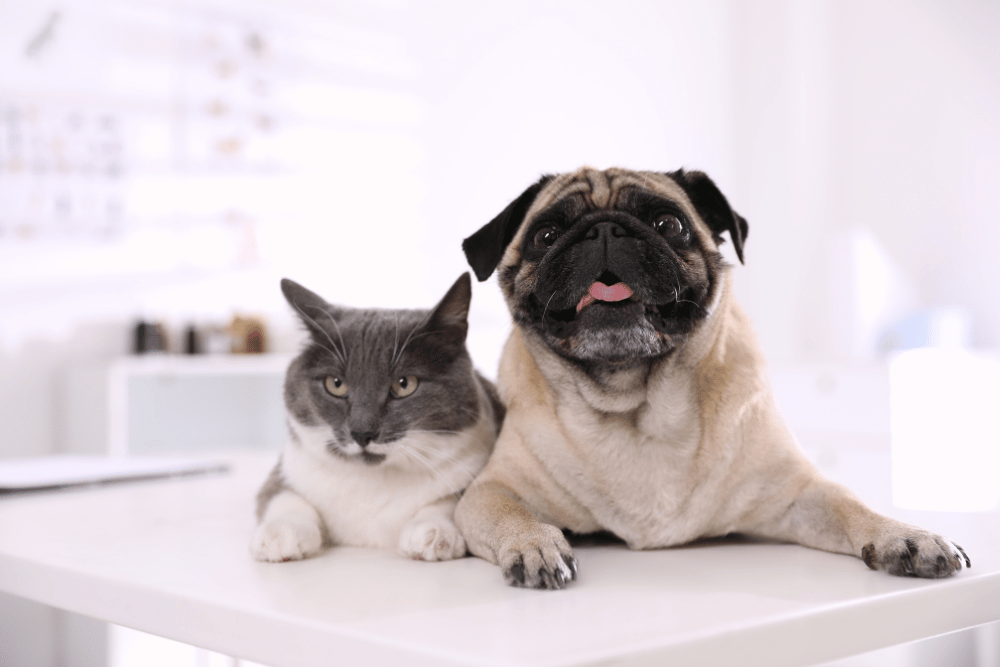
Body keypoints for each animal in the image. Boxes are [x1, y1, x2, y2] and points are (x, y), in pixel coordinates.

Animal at [250, 274, 500, 560]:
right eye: (335, 384)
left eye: (405, 384)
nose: (362, 433)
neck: (374, 482)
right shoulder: (290, 466)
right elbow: (280, 494)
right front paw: (280, 532)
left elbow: (453, 500)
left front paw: (433, 531)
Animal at [454, 167, 968, 588]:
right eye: (546, 235)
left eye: (670, 225)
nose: (604, 229)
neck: (634, 403)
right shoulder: (489, 491)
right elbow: (511, 512)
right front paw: (534, 543)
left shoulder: (798, 494)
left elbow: (850, 503)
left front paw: (905, 535)